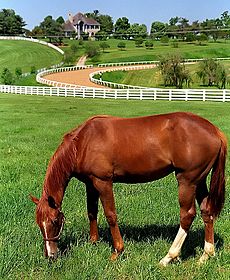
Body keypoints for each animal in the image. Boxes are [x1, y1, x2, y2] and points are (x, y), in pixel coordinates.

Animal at [30, 111, 226, 264]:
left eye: (55, 221)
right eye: (39, 223)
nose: (51, 256)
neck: (83, 142)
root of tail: (214, 131)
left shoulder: (103, 182)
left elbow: (111, 215)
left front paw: (118, 251)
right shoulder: (90, 183)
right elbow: (92, 212)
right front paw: (93, 242)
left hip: (187, 180)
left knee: (187, 215)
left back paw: (169, 257)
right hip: (199, 180)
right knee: (206, 211)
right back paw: (206, 255)